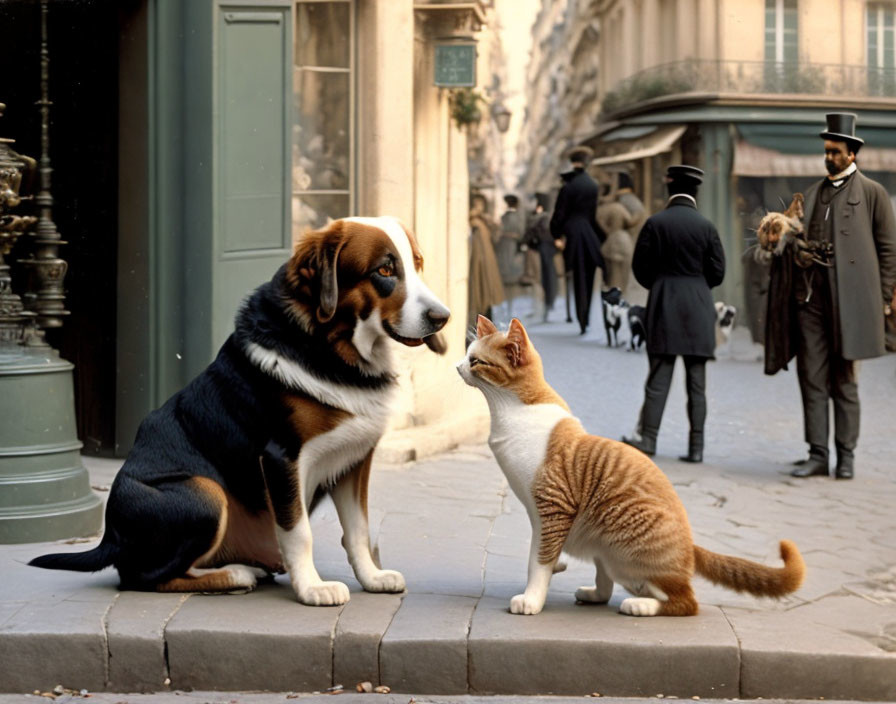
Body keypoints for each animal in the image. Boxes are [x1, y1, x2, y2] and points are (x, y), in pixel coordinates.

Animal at [456, 314, 804, 616]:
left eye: (476, 362)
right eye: (467, 355)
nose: (457, 366)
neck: (510, 411)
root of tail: (691, 546)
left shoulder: (553, 507)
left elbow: (538, 561)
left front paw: (532, 599)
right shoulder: (538, 514)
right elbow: (540, 551)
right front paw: (555, 567)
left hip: (625, 547)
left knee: (685, 601)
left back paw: (641, 606)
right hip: (604, 550)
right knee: (607, 585)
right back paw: (593, 594)